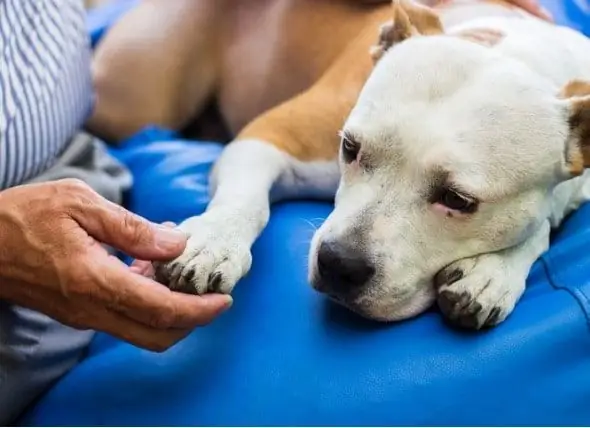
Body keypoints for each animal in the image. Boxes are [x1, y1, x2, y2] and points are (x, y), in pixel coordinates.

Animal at [88, 0, 590, 330]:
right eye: (350, 147)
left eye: (458, 199)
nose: (339, 264)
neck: (511, 49)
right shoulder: (270, 135)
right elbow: (246, 202)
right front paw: (211, 242)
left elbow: (543, 225)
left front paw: (492, 273)